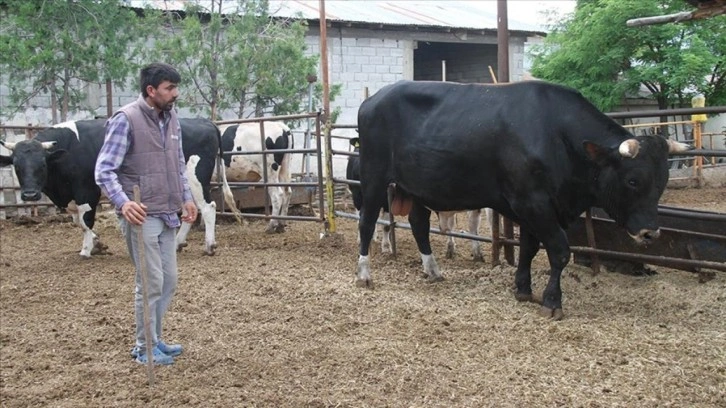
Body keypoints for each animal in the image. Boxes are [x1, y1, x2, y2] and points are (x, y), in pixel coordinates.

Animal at [0, 118, 242, 258]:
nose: (30, 194)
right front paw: (97, 243)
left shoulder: (86, 192)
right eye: (17, 166)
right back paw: (178, 243)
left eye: (42, 164)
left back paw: (209, 246)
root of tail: (205, 121)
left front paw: (87, 248)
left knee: (208, 207)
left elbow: (85, 221)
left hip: (195, 177)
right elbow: (78, 221)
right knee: (190, 212)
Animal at [356, 81, 692, 320]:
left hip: (417, 187)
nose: (650, 232)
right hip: (373, 178)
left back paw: (433, 270)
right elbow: (559, 251)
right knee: (367, 222)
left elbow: (529, 248)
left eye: (663, 180)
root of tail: (374, 99)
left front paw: (523, 289)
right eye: (633, 180)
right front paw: (552, 301)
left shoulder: (538, 207)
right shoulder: (533, 203)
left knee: (418, 224)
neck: (556, 134)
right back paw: (364, 274)